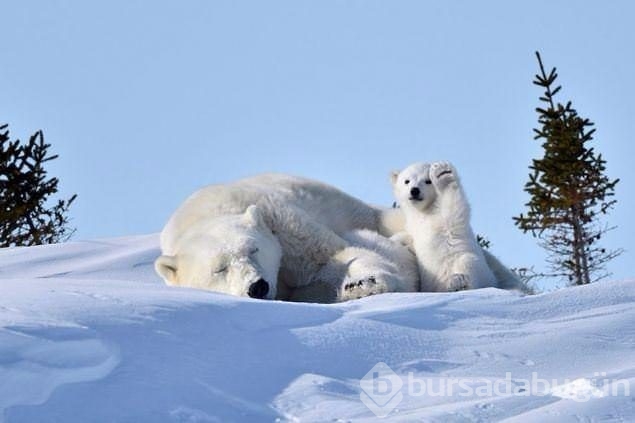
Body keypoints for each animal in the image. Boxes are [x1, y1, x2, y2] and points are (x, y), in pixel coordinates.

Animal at [157, 174, 420, 304]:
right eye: (219, 269)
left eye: (253, 249)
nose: (257, 286)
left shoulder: (281, 223)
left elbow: (334, 255)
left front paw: (364, 283)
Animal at [390, 161, 520, 294]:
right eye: (407, 181)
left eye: (427, 181)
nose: (414, 190)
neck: (425, 211)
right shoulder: (413, 226)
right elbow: (409, 237)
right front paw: (396, 239)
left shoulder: (446, 220)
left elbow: (453, 209)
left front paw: (443, 173)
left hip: (477, 269)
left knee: (468, 264)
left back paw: (458, 282)